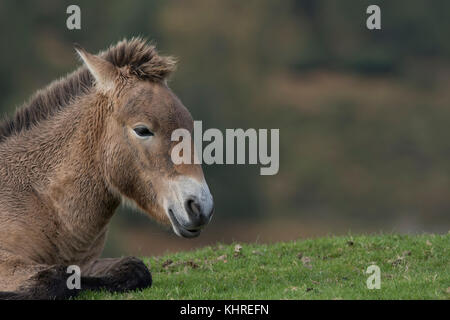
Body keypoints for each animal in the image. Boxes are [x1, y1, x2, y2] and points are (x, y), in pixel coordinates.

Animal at [0, 38, 214, 300]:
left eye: (189, 125)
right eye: (142, 130)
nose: (200, 207)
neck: (41, 200)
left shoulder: (87, 263)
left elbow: (134, 268)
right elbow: (54, 277)